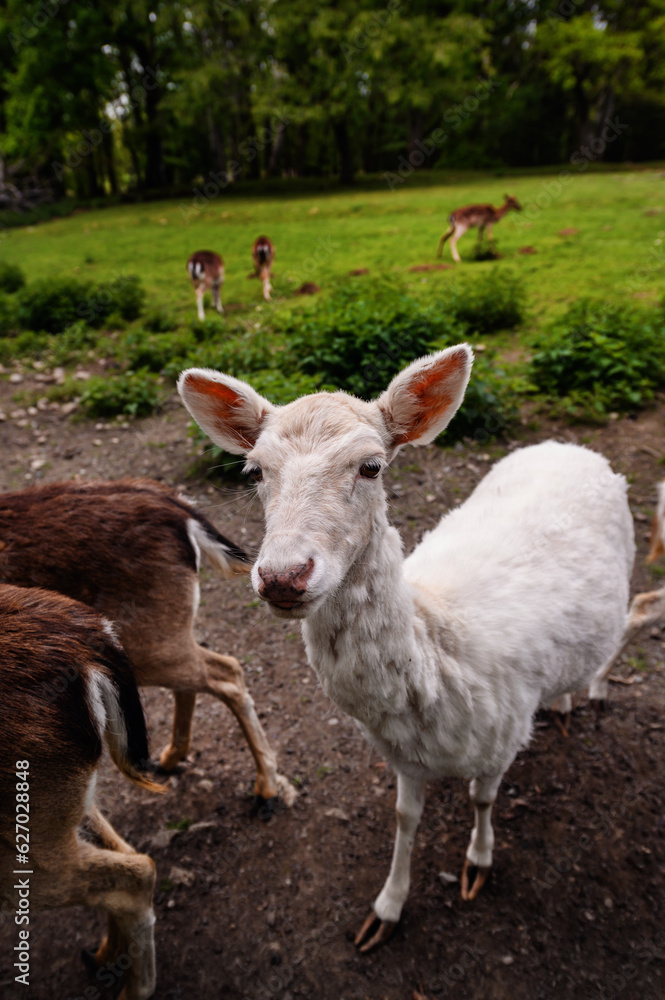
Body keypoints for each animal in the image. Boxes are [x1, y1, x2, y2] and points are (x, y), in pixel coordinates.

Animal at [0, 480, 296, 816]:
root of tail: (181, 512)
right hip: (161, 637)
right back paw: (169, 758)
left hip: (141, 645)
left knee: (227, 671)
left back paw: (266, 789)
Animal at [179, 352, 636, 952]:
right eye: (253, 472)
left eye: (371, 466)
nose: (282, 576)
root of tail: (569, 446)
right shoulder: (405, 757)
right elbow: (404, 818)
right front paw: (386, 910)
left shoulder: (505, 736)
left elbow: (483, 800)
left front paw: (478, 864)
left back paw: (577, 698)